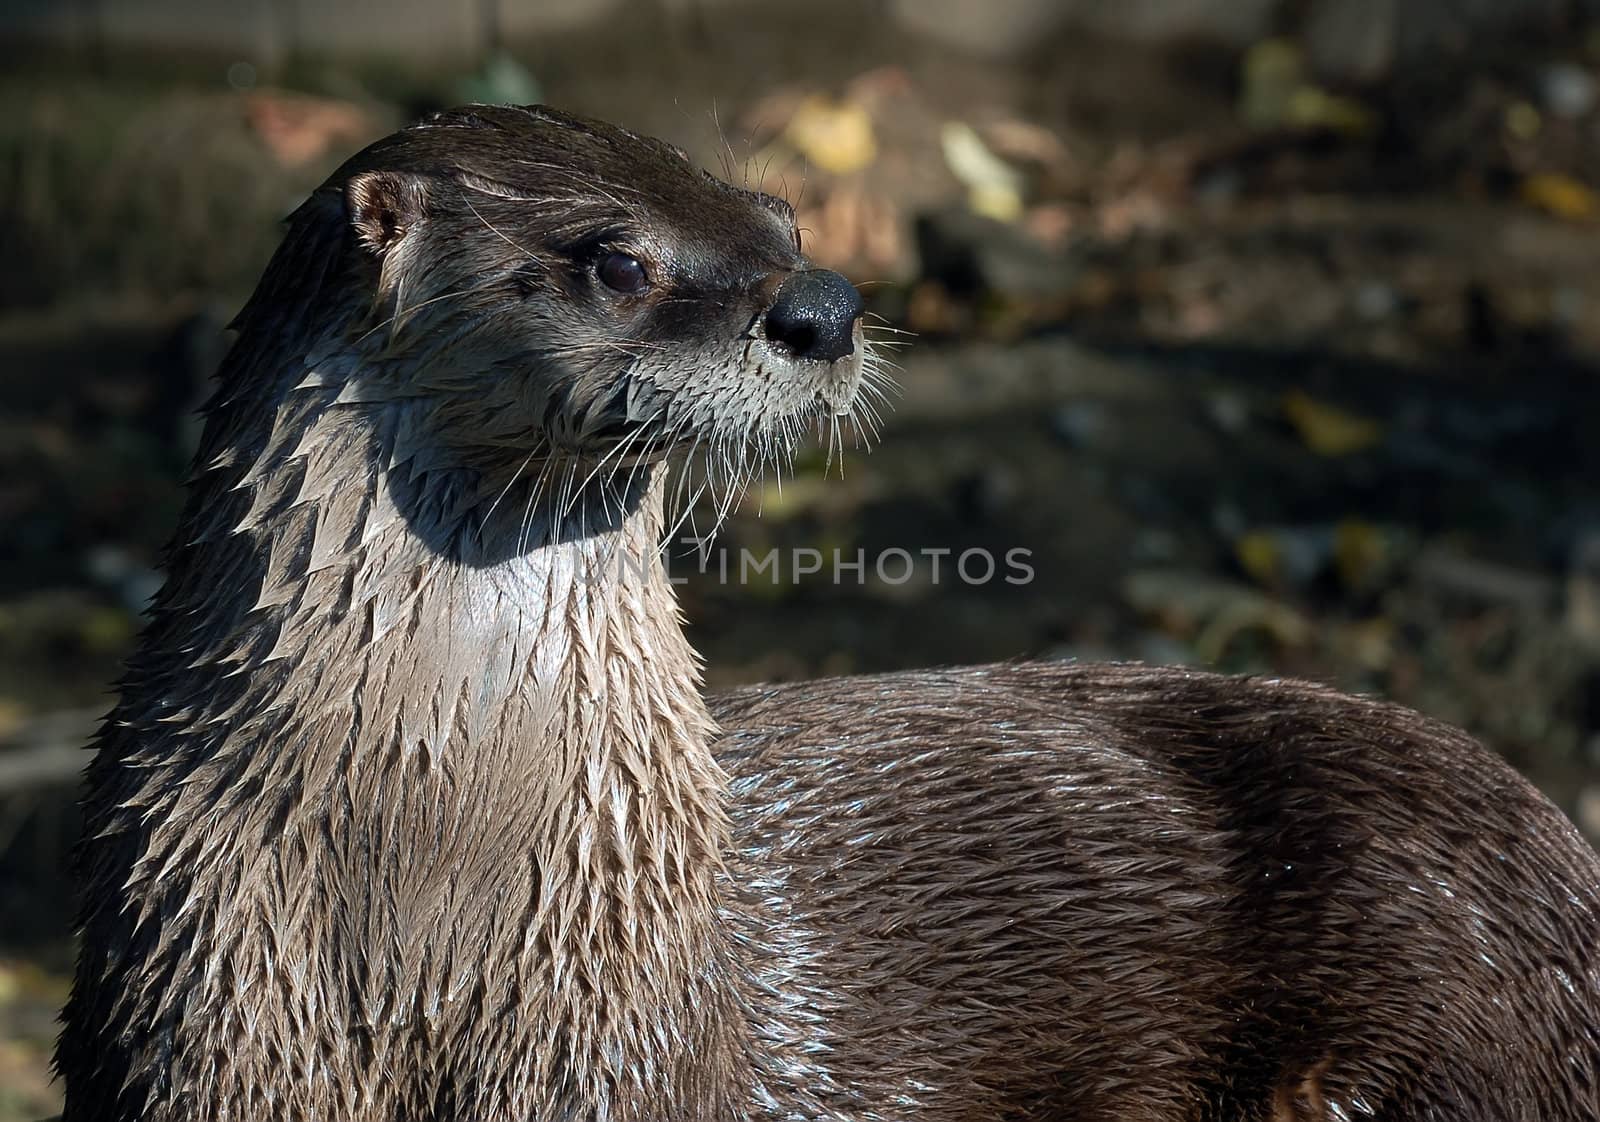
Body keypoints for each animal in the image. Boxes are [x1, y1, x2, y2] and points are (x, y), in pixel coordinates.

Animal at [56, 103, 1600, 1113]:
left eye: (784, 220)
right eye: (618, 258)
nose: (825, 305)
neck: (430, 883)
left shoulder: (615, 1058)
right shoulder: (201, 1006)